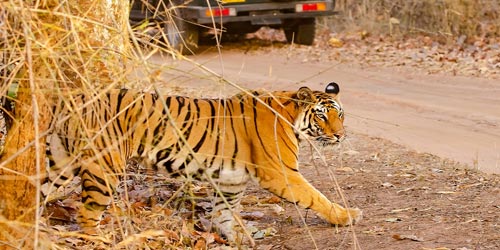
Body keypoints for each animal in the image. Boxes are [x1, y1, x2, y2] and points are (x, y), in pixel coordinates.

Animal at [45, 82, 362, 242]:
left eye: (340, 114)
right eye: (322, 116)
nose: (340, 135)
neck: (291, 117)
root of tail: (71, 99)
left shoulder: (230, 181)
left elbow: (225, 215)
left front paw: (242, 239)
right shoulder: (282, 173)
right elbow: (317, 197)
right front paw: (346, 216)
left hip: (60, 163)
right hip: (103, 168)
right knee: (87, 215)